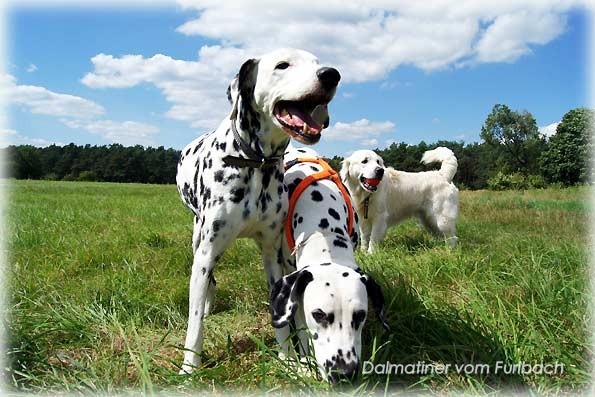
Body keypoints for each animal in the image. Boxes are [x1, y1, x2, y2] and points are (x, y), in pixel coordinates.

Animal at [175, 48, 340, 372]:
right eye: (282, 65)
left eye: (317, 63)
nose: (331, 75)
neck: (254, 162)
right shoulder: (207, 251)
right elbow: (195, 321)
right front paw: (189, 368)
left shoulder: (272, 255)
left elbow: (281, 317)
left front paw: (287, 358)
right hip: (198, 240)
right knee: (206, 282)